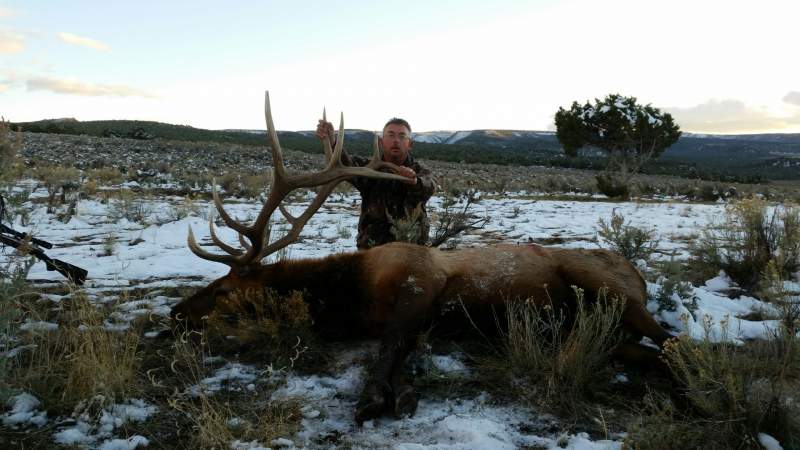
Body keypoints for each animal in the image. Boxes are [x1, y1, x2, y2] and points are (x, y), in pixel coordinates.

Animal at [172, 92, 672, 426]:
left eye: (222, 288)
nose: (176, 313)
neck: (351, 295)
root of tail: (638, 273)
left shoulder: (421, 280)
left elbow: (391, 345)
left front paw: (376, 397)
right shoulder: (416, 314)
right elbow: (402, 347)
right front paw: (404, 390)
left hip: (603, 285)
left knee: (671, 341)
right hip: (610, 334)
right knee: (652, 353)